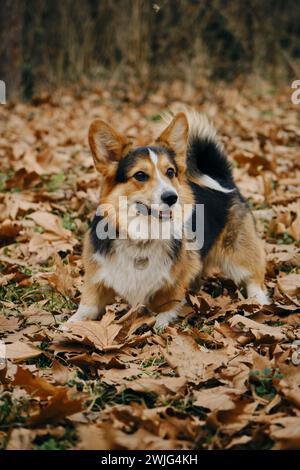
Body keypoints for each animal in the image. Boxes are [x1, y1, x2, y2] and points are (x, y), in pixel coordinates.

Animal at [63, 110, 270, 330]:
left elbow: (167, 304)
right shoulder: (98, 277)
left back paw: (258, 302)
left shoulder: (175, 279)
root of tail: (223, 179)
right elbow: (87, 306)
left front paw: (160, 324)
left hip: (238, 254)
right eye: (140, 175)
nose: (172, 197)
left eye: (170, 172)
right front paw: (70, 324)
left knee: (254, 278)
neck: (142, 234)